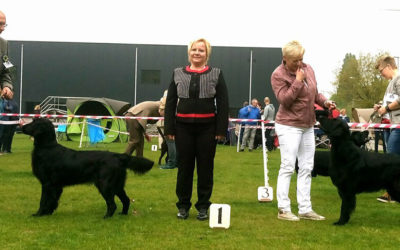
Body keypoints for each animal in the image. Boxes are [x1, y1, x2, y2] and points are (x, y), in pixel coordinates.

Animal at [21, 118, 154, 218]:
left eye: (34, 122)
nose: (20, 127)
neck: (47, 147)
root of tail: (117, 156)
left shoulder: (47, 183)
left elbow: (43, 200)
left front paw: (39, 214)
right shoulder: (56, 186)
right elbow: (52, 201)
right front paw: (48, 213)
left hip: (104, 184)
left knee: (112, 204)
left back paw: (106, 217)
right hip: (117, 185)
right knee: (126, 200)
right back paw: (123, 214)